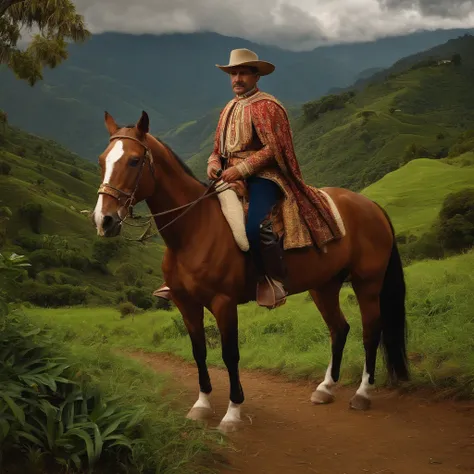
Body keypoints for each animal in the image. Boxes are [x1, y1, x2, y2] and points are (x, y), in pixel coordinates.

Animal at [93, 110, 412, 434]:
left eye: (134, 161)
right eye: (102, 160)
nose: (104, 220)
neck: (195, 228)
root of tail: (371, 206)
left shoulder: (223, 302)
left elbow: (230, 355)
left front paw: (232, 413)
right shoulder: (186, 304)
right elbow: (199, 351)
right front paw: (202, 405)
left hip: (367, 283)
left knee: (371, 331)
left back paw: (362, 393)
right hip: (324, 286)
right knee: (340, 328)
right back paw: (326, 388)